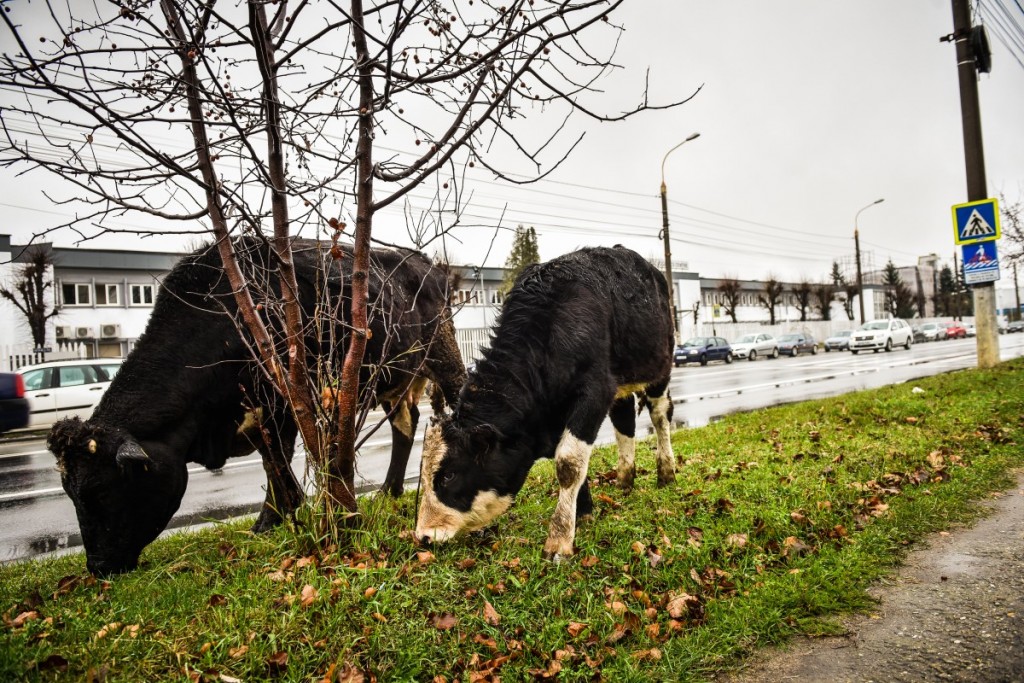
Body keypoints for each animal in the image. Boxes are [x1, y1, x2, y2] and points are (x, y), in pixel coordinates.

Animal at [48, 237, 464, 573]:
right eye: (70, 493)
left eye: (101, 492)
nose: (98, 566)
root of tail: (427, 264)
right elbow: (269, 461)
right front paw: (276, 517)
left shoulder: (281, 402)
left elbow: (277, 459)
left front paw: (271, 518)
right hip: (396, 380)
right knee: (404, 424)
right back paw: (389, 490)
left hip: (442, 352)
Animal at [411, 245, 675, 561]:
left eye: (449, 475)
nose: (423, 535)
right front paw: (583, 514)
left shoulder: (595, 391)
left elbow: (569, 462)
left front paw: (559, 540)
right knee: (624, 421)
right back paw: (625, 478)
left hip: (660, 365)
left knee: (660, 415)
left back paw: (666, 472)